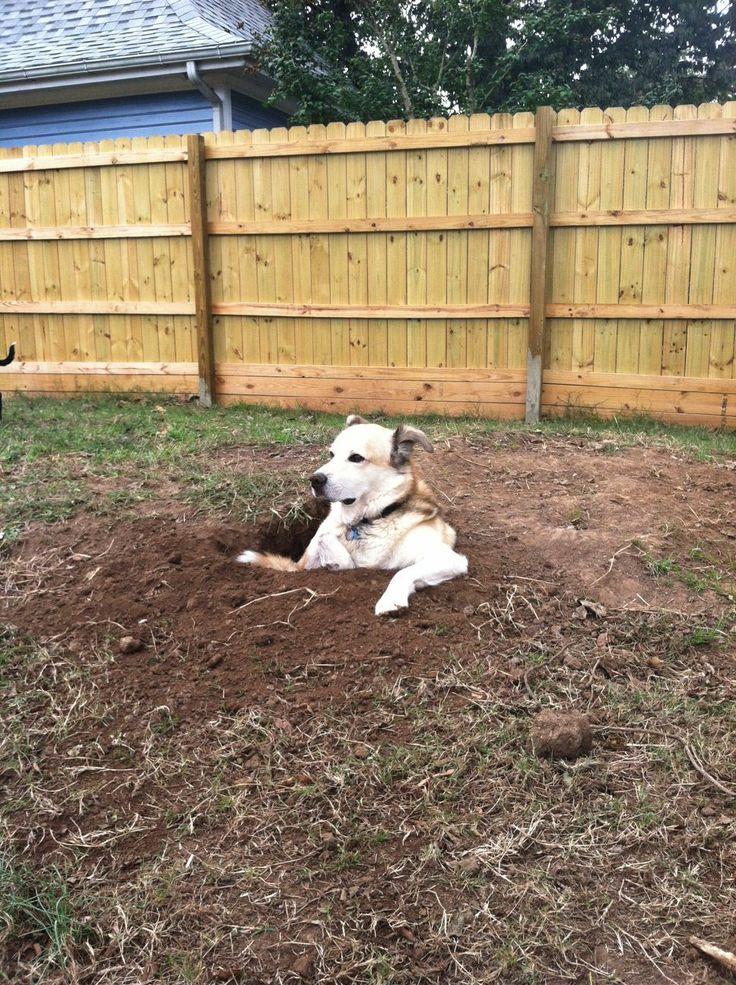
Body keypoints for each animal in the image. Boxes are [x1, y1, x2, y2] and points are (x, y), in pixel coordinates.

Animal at [237, 416, 466, 616]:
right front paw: (334, 558)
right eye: (331, 454)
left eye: (356, 458)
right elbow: (332, 546)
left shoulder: (449, 559)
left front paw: (390, 600)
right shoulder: (305, 563)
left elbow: (402, 572)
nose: (314, 480)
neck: (368, 520)